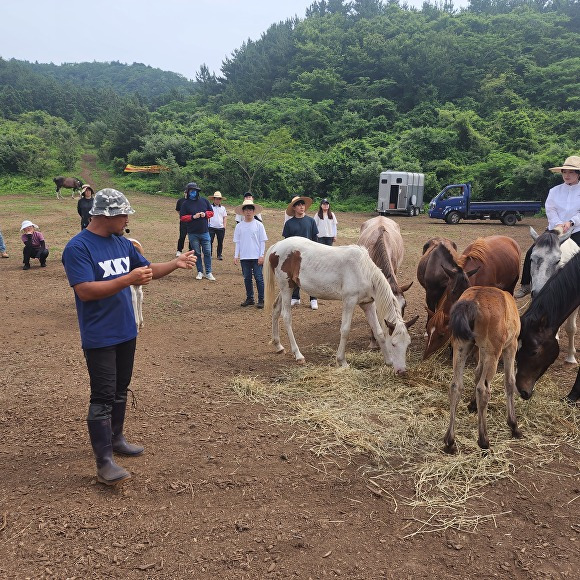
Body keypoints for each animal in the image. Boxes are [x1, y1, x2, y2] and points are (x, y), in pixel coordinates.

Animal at [262, 238, 416, 374]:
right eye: (394, 344)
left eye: (408, 344)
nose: (402, 371)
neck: (363, 270)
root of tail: (276, 246)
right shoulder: (349, 301)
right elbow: (345, 330)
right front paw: (342, 361)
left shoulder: (367, 304)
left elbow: (378, 332)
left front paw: (388, 361)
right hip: (286, 287)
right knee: (286, 317)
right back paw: (298, 354)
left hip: (290, 286)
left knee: (276, 309)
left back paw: (278, 345)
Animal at [444, 288, 520, 456]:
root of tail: (472, 302)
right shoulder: (511, 345)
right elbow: (510, 381)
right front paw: (513, 425)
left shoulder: (479, 349)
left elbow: (477, 372)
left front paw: (472, 405)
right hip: (493, 351)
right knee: (483, 389)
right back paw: (484, 440)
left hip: (461, 346)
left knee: (455, 386)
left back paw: (449, 441)